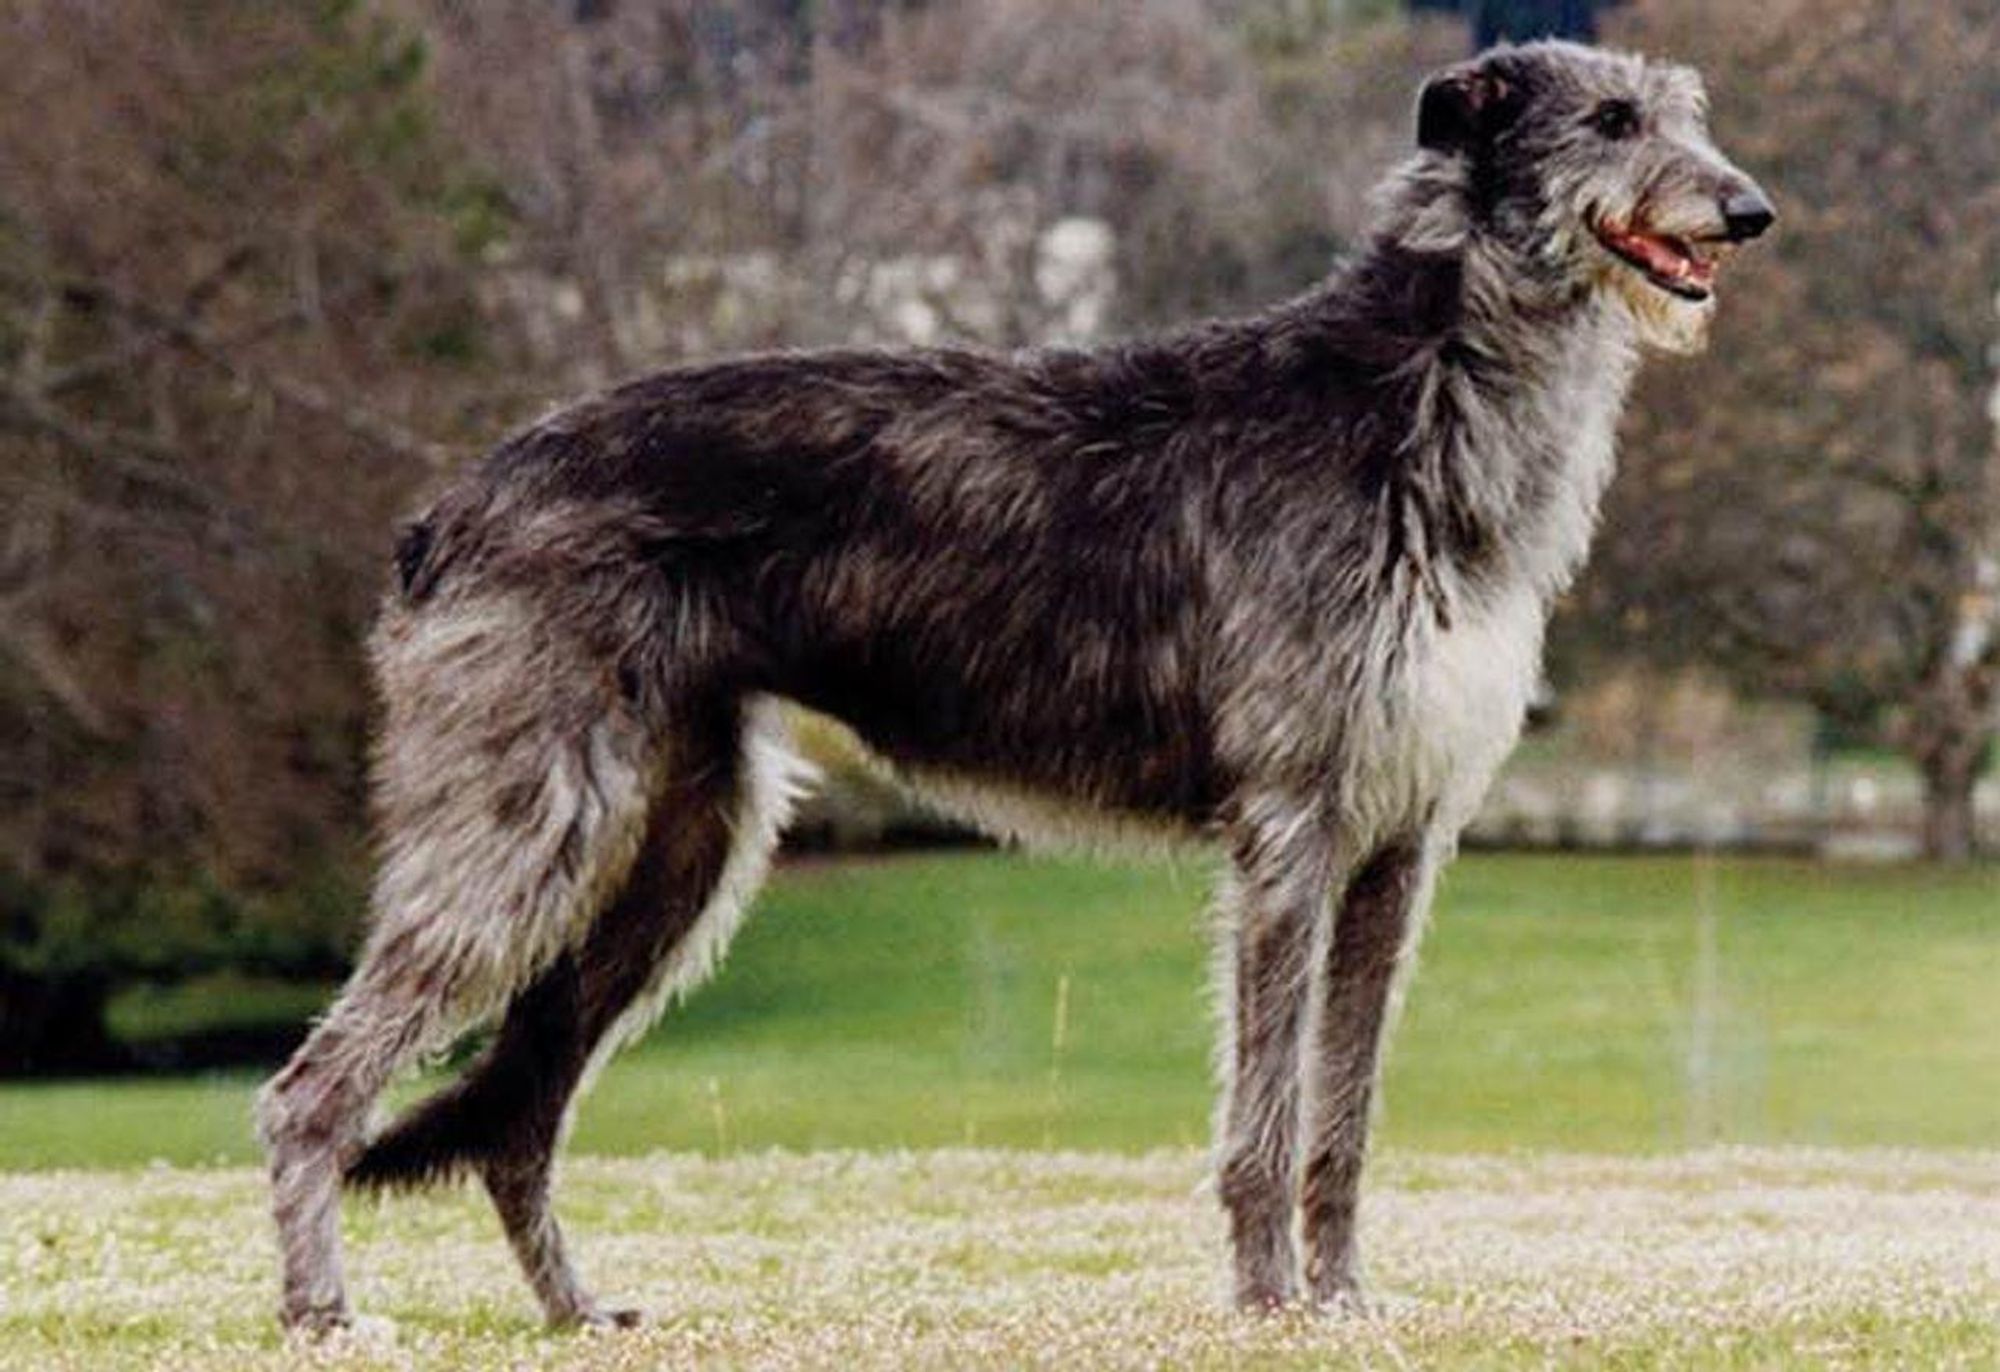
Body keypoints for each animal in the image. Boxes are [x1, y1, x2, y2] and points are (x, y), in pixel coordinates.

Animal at [258, 40, 1776, 1336]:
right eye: (1611, 120)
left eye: (1685, 111)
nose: (1749, 209)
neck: (1425, 387)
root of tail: (446, 509)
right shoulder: (1291, 823)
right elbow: (1268, 1108)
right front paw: (1269, 1301)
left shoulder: (1400, 837)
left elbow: (1344, 1113)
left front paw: (1343, 1298)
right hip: (531, 820)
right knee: (309, 1090)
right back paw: (324, 1311)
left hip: (680, 849)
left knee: (523, 1109)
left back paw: (576, 1313)